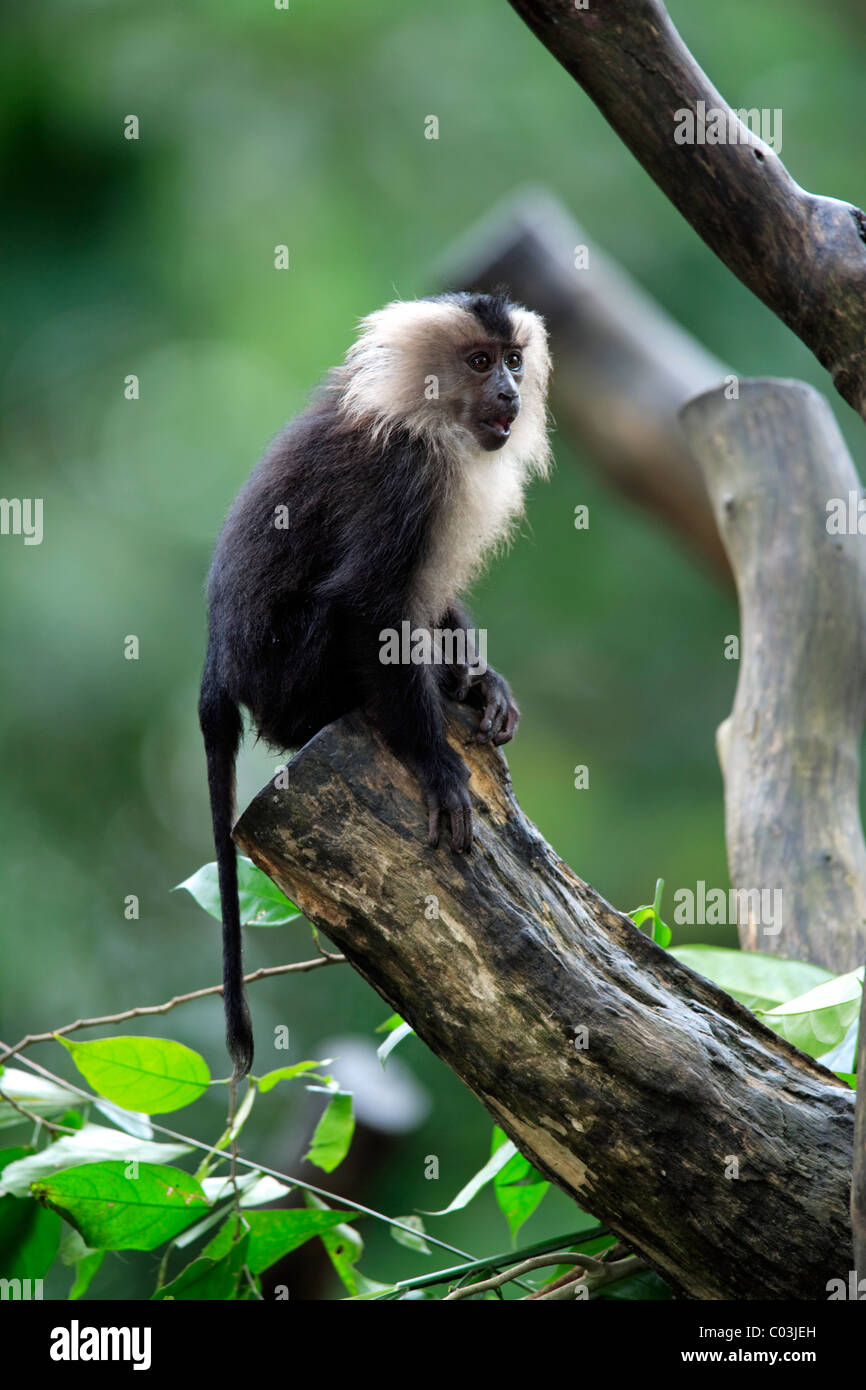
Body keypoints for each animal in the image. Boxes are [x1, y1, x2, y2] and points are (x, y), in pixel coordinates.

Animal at [200, 290, 553, 1073]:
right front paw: (437, 768)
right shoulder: (406, 474)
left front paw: (484, 683)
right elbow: (370, 607)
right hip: (291, 677)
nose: (509, 393)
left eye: (513, 361)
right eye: (479, 362)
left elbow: (426, 601)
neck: (428, 420)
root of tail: (217, 665)